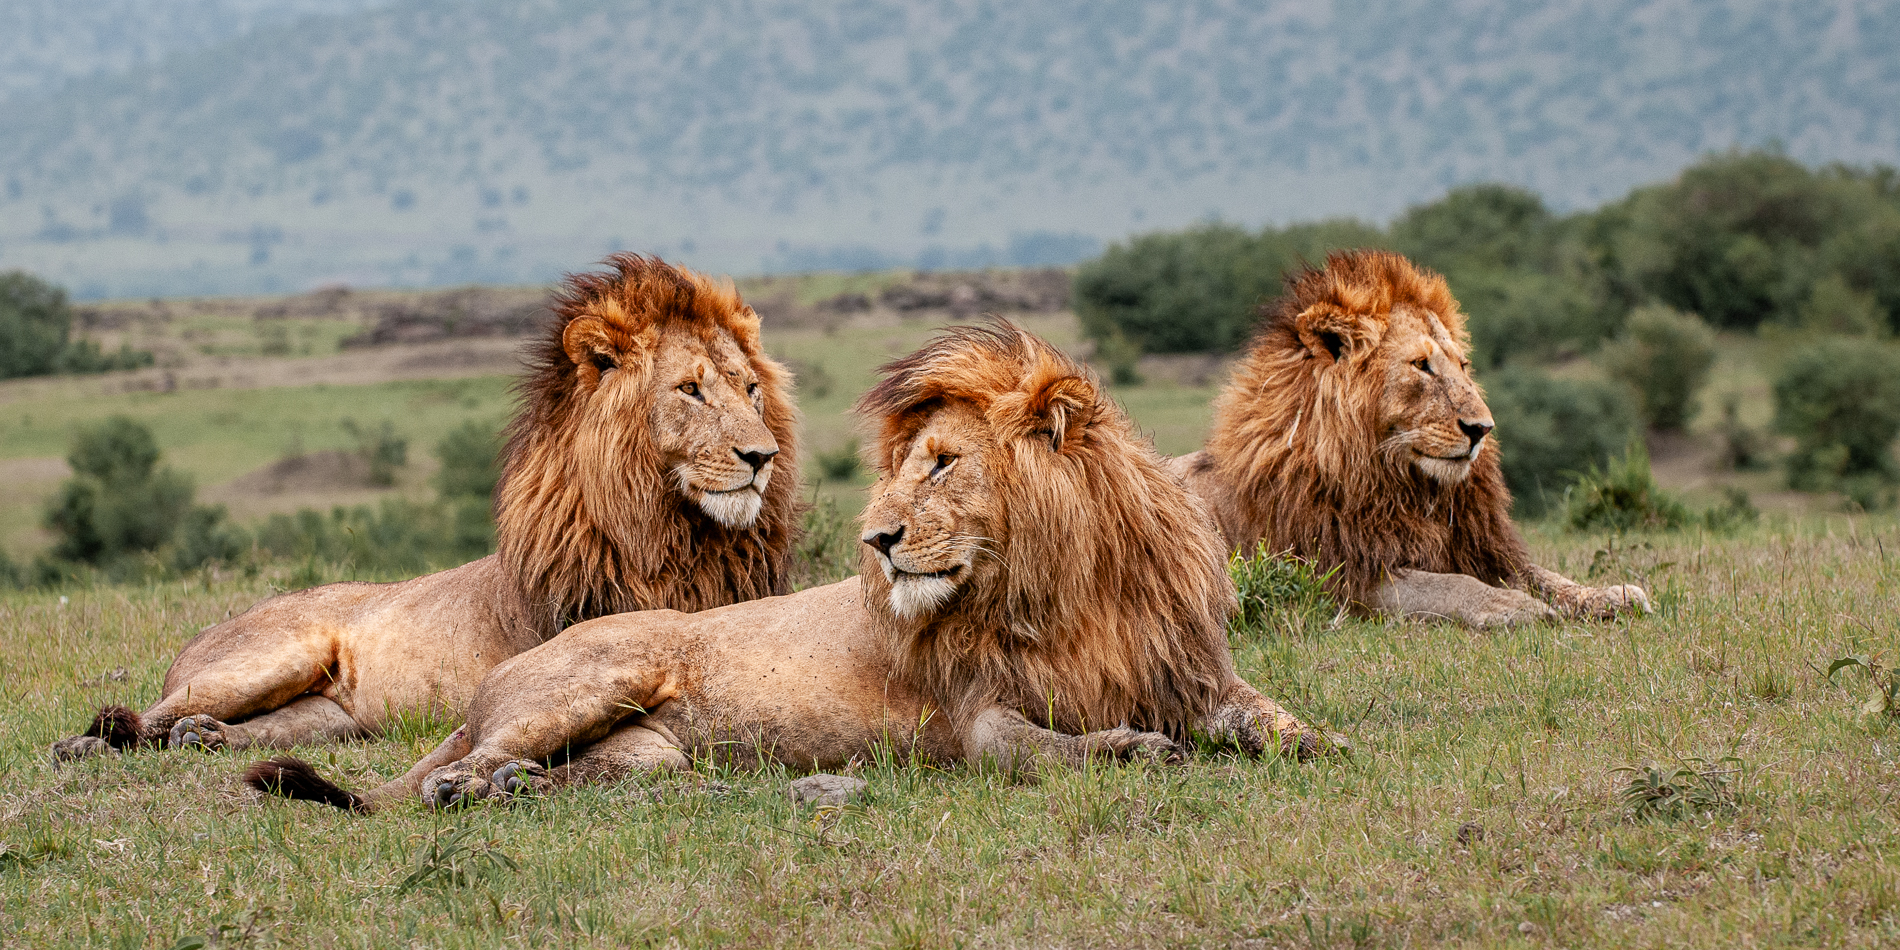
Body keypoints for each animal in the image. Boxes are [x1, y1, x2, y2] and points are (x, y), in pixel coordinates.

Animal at [51, 254, 801, 761]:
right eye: (690, 390)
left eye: (750, 388)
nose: (761, 456)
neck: (676, 539)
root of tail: (205, 632)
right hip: (267, 656)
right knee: (144, 716)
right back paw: (88, 746)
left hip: (331, 718)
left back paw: (203, 738)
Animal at [244, 323, 1325, 813]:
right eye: (907, 462)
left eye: (943, 463)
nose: (877, 540)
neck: (1064, 588)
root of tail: (494, 678)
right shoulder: (973, 713)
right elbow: (1038, 748)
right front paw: (1133, 748)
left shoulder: (1190, 670)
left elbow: (1261, 715)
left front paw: (1311, 740)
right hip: (598, 674)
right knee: (446, 778)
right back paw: (480, 784)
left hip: (646, 753)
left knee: (589, 780)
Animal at [1170, 249, 1649, 628]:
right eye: (1422, 365)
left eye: (1463, 366)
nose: (1482, 429)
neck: (1405, 489)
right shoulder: (1344, 576)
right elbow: (1451, 586)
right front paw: (1513, 606)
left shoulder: (1479, 547)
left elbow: (1541, 575)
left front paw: (1610, 595)